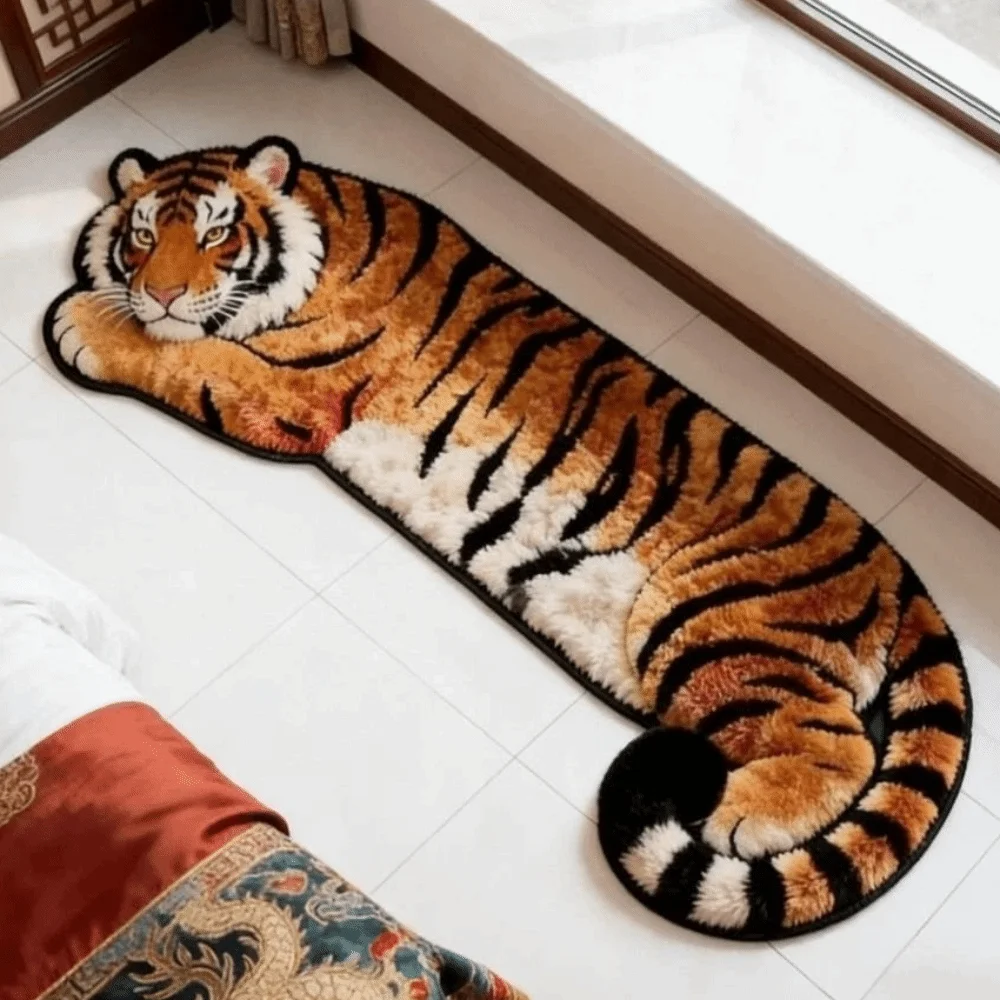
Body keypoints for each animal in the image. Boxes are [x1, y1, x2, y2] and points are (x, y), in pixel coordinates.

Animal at [45, 136, 971, 939]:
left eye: (216, 232)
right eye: (140, 236)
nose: (163, 294)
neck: (320, 233)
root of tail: (903, 577)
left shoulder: (291, 392)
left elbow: (188, 358)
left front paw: (82, 323)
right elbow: (184, 346)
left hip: (713, 619)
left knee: (834, 743)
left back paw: (741, 814)